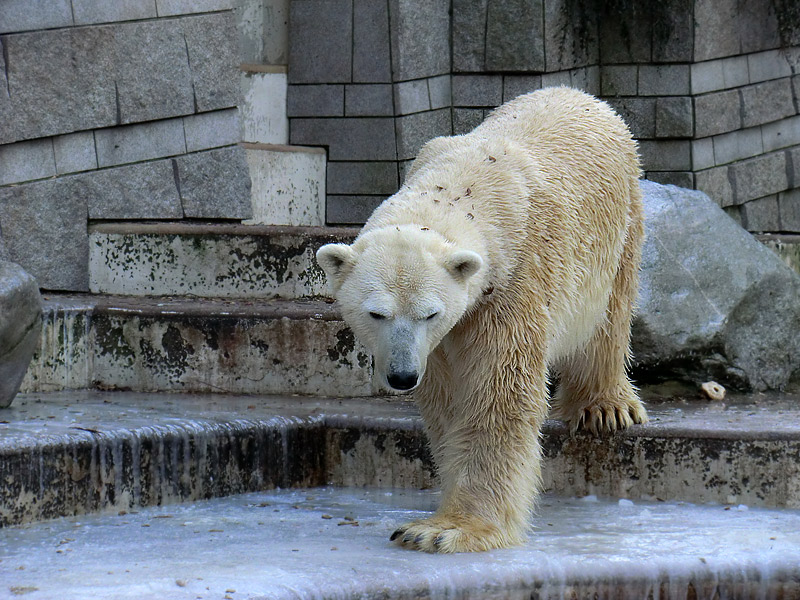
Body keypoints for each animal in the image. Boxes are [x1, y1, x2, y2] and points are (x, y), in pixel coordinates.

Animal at [316, 88, 648, 552]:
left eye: (429, 312)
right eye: (376, 313)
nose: (402, 376)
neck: (461, 184)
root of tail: (580, 95)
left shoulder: (512, 283)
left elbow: (498, 392)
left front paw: (447, 530)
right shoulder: (440, 340)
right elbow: (446, 400)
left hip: (619, 224)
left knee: (608, 315)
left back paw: (604, 406)